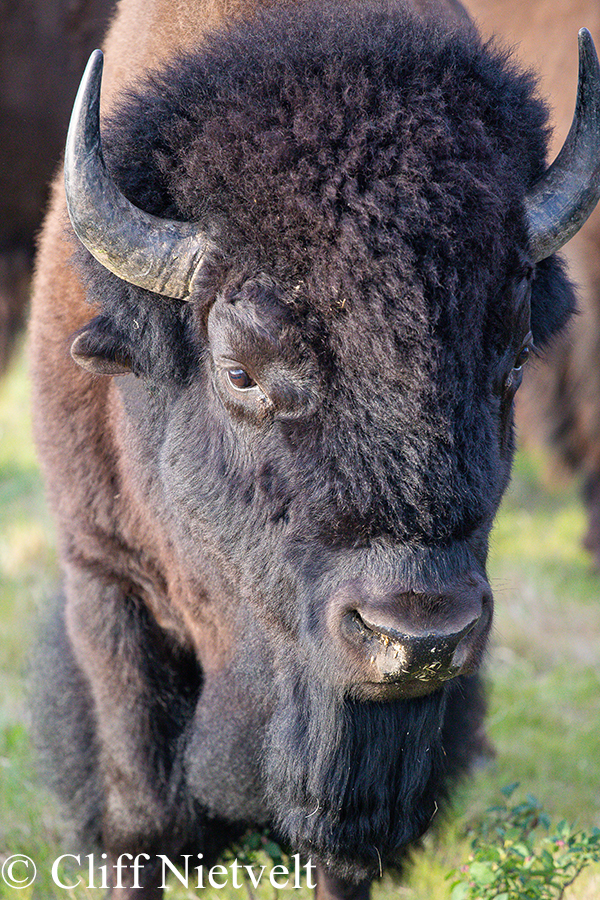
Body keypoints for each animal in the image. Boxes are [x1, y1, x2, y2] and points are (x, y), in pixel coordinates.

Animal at [29, 0, 600, 897]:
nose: (419, 637)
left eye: (512, 360)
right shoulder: (104, 573)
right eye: (239, 370)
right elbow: (139, 814)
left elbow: (345, 848)